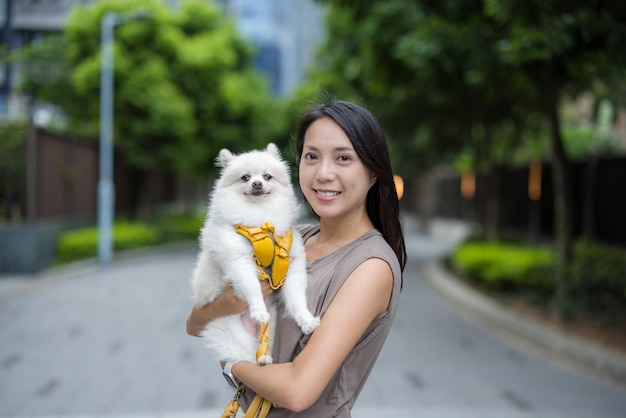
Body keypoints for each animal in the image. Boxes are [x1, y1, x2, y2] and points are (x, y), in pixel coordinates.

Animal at [189, 144, 316, 366]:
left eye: (267, 176)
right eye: (245, 177)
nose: (257, 183)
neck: (260, 219)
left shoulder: (290, 263)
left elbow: (296, 297)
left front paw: (306, 320)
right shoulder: (237, 259)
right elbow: (252, 286)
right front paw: (258, 310)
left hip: (271, 329)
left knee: (262, 342)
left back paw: (264, 357)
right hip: (231, 329)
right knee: (247, 353)